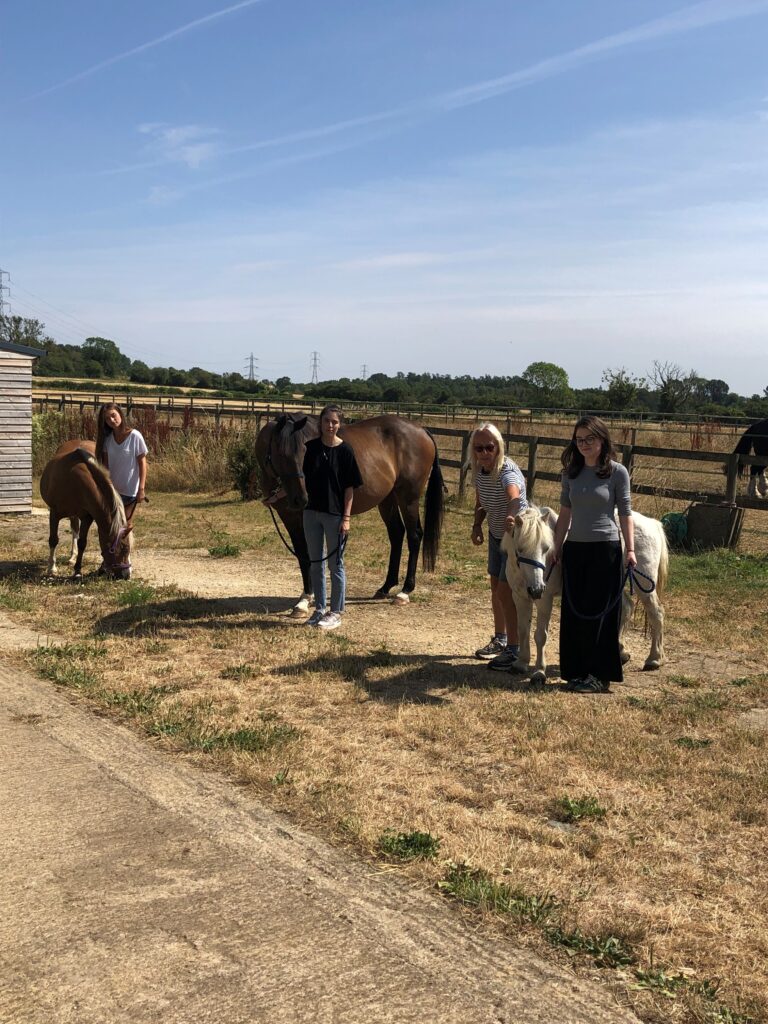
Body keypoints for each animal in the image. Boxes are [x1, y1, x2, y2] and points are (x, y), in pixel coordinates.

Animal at [40, 440, 134, 580]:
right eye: (123, 548)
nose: (127, 575)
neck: (73, 480)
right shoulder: (54, 513)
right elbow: (53, 540)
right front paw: (51, 568)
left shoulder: (87, 517)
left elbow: (82, 543)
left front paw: (77, 570)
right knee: (72, 530)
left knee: (75, 530)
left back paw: (73, 557)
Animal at [256, 413, 444, 614]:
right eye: (282, 454)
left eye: (305, 452)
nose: (302, 499)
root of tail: (422, 430)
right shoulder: (289, 517)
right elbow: (302, 555)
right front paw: (306, 597)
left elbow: (310, 555)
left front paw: (306, 600)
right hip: (388, 499)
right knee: (396, 533)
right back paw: (386, 587)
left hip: (408, 498)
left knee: (414, 536)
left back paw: (405, 591)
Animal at [500, 506, 668, 685]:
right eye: (520, 549)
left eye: (546, 548)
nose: (537, 589)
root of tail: (652, 524)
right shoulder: (520, 597)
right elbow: (522, 630)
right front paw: (521, 663)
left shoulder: (545, 600)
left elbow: (540, 635)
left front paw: (539, 672)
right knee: (627, 608)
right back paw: (622, 653)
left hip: (644, 585)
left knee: (656, 614)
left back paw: (654, 659)